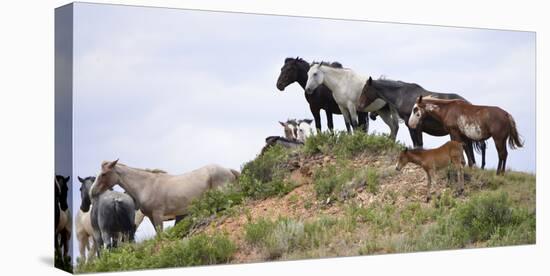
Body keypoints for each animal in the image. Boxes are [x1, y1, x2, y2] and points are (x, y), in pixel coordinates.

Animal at [360, 76, 490, 168]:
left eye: (365, 90)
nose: (360, 106)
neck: (403, 96)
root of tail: (469, 103)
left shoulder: (414, 127)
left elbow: (417, 144)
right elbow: (419, 144)